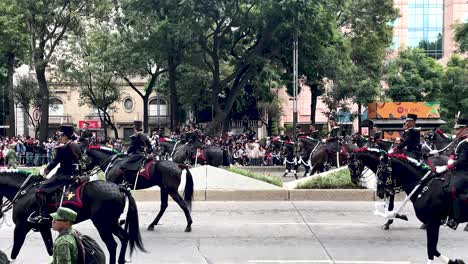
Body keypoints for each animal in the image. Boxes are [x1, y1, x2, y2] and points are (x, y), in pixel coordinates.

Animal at [0, 170, 144, 262]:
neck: (24, 191)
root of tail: (119, 188)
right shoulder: (44, 228)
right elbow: (51, 249)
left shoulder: (21, 227)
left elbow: (15, 251)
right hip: (111, 223)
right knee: (124, 238)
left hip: (103, 224)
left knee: (112, 245)